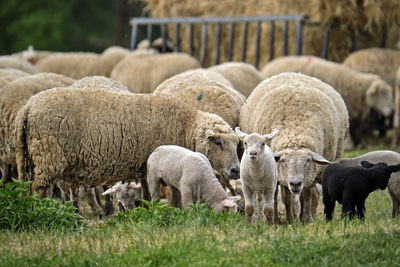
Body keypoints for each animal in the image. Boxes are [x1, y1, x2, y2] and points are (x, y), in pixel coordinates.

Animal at [239, 73, 348, 224]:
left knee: (310, 194)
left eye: (308, 161)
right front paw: (285, 220)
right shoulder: (280, 175)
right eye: (284, 161)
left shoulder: (310, 176)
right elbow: (284, 198)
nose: (295, 183)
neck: (295, 133)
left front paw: (305, 220)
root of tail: (294, 73)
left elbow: (306, 196)